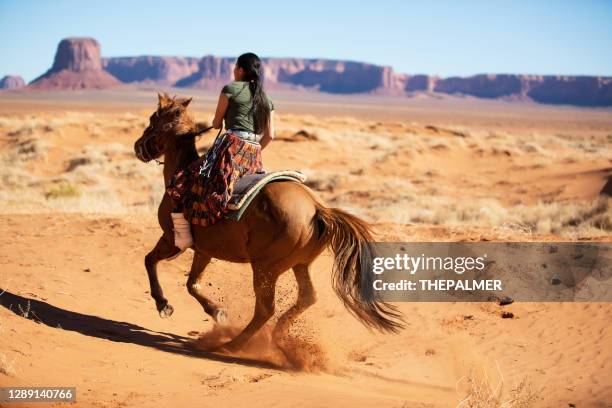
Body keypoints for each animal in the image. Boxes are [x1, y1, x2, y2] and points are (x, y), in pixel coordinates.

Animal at [134, 94, 402, 352]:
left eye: (152, 121)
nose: (138, 147)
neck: (182, 171)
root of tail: (317, 209)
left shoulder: (171, 239)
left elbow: (150, 261)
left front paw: (163, 304)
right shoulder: (204, 250)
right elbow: (192, 284)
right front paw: (218, 312)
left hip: (265, 268)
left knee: (265, 309)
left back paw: (233, 345)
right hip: (301, 264)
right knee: (307, 298)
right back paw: (279, 338)